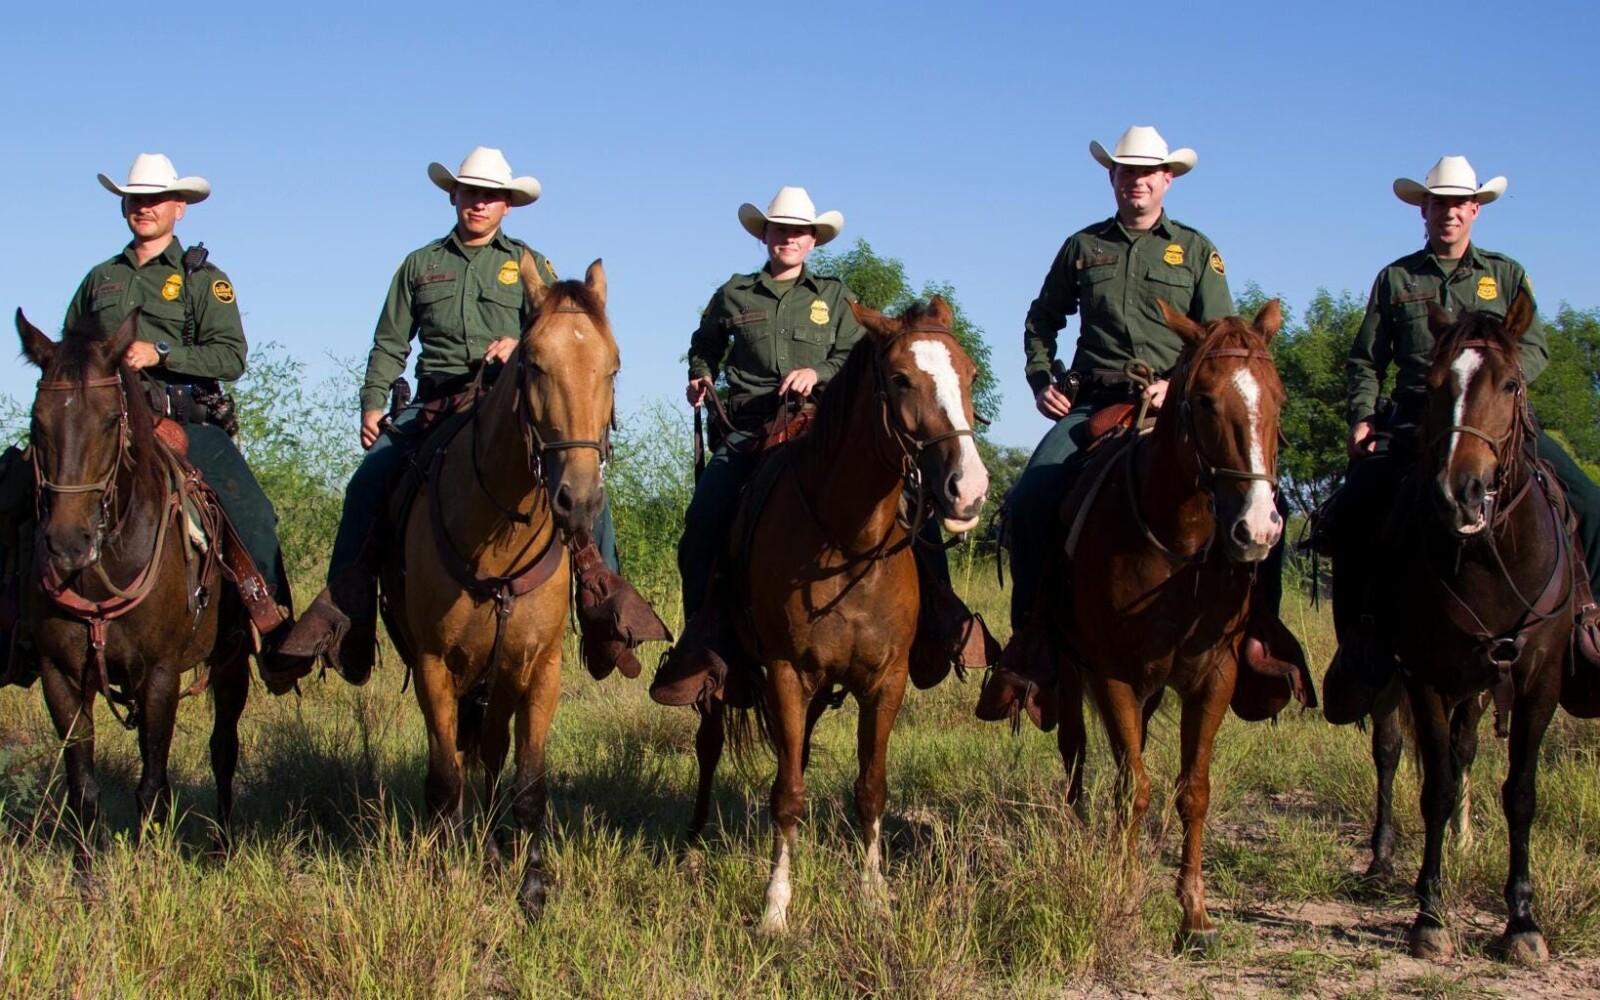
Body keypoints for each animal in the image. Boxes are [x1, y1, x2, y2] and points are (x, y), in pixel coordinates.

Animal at [12, 308, 251, 870]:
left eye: (108, 420)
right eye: (37, 421)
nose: (67, 544)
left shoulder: (160, 675)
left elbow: (152, 783)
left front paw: (147, 866)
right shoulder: (60, 676)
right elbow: (83, 785)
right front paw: (86, 873)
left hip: (231, 662)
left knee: (223, 747)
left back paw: (222, 844)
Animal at [377, 252, 620, 915]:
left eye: (613, 366)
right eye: (533, 363)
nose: (578, 502)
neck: (499, 541)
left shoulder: (539, 670)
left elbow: (527, 781)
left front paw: (531, 885)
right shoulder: (434, 665)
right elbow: (444, 776)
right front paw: (442, 871)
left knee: (488, 754)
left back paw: (490, 848)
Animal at [688, 297, 985, 934]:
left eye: (970, 376)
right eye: (900, 379)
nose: (969, 490)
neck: (847, 542)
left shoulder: (884, 681)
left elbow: (870, 786)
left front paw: (874, 894)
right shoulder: (785, 674)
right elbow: (788, 791)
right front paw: (775, 906)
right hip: (726, 684)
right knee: (711, 744)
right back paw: (695, 839)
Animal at [1049, 297, 1286, 953]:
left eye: (1279, 399)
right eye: (1203, 400)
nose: (1257, 530)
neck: (1175, 547)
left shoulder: (1213, 678)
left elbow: (1192, 790)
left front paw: (1195, 912)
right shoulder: (1113, 676)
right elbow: (1135, 786)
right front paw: (1124, 888)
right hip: (1072, 671)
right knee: (1076, 750)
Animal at [1369, 296, 1568, 960]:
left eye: (1511, 384)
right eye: (1432, 387)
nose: (1460, 492)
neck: (1487, 558)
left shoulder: (1537, 683)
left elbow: (1521, 793)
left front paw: (1523, 921)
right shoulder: (1424, 675)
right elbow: (1433, 786)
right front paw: (1429, 915)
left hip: (1478, 689)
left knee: (1461, 753)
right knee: (1392, 750)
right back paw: (1382, 857)